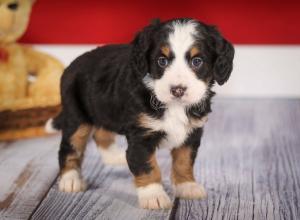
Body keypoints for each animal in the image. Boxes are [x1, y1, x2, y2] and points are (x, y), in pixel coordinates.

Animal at [47, 18, 234, 209]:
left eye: (197, 61)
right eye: (162, 61)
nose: (178, 90)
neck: (174, 106)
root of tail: (72, 64)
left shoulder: (191, 133)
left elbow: (184, 161)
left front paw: (187, 186)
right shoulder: (141, 137)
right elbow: (148, 166)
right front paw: (154, 196)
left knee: (101, 133)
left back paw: (114, 157)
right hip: (76, 117)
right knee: (69, 147)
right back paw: (70, 180)